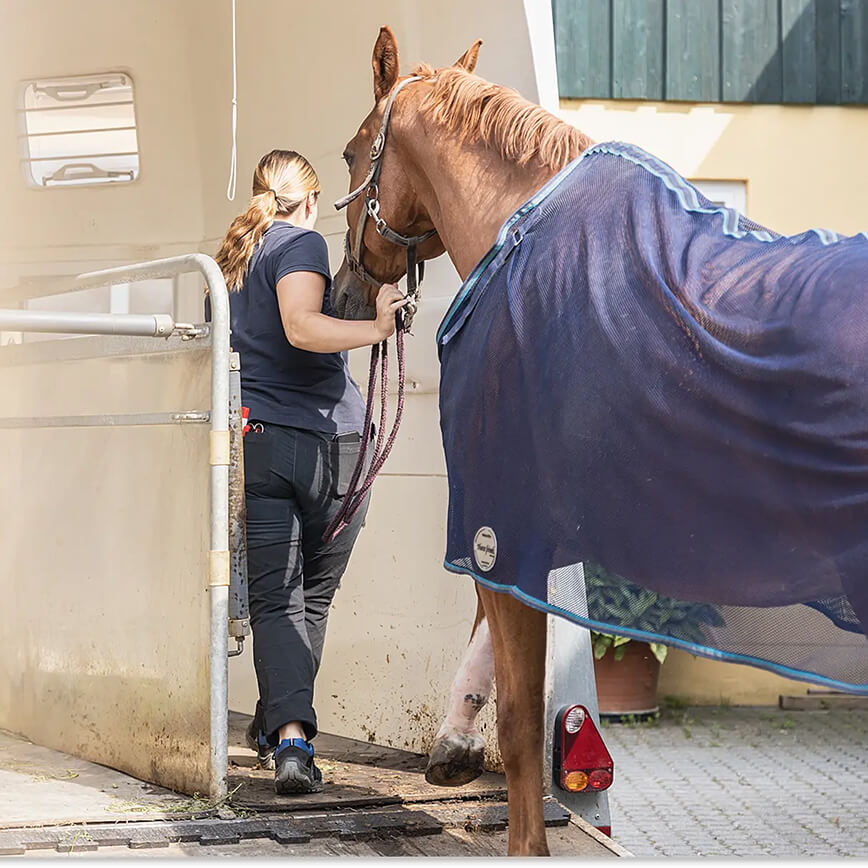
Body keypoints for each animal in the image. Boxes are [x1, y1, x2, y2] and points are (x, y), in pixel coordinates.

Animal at [331, 26, 868, 856]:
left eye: (354, 153)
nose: (345, 294)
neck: (523, 239)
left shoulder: (504, 514)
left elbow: (523, 720)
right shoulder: (538, 521)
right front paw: (456, 738)